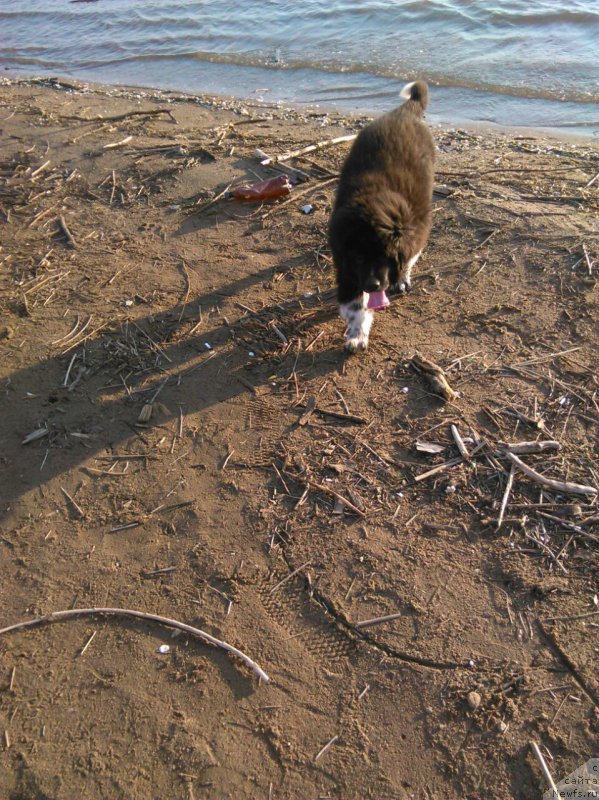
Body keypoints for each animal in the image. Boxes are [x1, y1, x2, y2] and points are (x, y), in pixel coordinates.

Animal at [330, 79, 434, 352]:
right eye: (357, 257)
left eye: (384, 256)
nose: (372, 285)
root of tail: (402, 113)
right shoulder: (345, 265)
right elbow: (355, 307)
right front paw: (357, 334)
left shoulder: (415, 230)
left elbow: (408, 257)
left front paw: (401, 278)